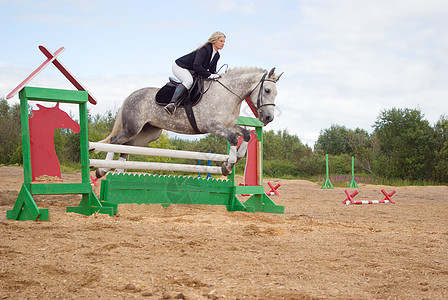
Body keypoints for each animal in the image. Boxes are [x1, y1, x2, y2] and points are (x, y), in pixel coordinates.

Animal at [94, 67, 282, 178]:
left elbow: (246, 135)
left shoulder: (228, 126)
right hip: (132, 127)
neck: (228, 94)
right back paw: (102, 169)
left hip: (148, 133)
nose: (268, 118)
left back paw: (118, 173)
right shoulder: (213, 126)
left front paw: (238, 157)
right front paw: (228, 166)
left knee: (127, 147)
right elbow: (233, 138)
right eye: (267, 90)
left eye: (276, 93)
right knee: (115, 141)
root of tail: (131, 95)